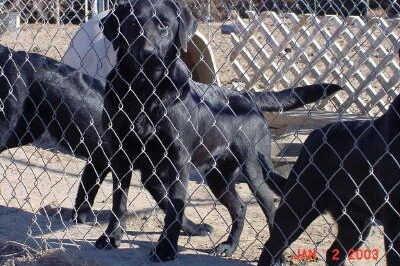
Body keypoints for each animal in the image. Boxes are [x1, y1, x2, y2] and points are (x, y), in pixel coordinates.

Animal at [97, 0, 344, 262]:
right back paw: (229, 246)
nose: (148, 55)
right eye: (132, 24)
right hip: (217, 177)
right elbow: (119, 202)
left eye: (164, 25)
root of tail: (246, 96)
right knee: (240, 207)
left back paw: (276, 252)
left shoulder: (178, 161)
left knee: (268, 201)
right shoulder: (120, 156)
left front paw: (166, 248)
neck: (145, 91)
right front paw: (111, 237)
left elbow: (174, 208)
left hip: (252, 166)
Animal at [258, 88, 400, 264]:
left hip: (356, 224)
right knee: (270, 248)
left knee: (334, 253)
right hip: (298, 209)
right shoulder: (394, 219)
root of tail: (313, 137)